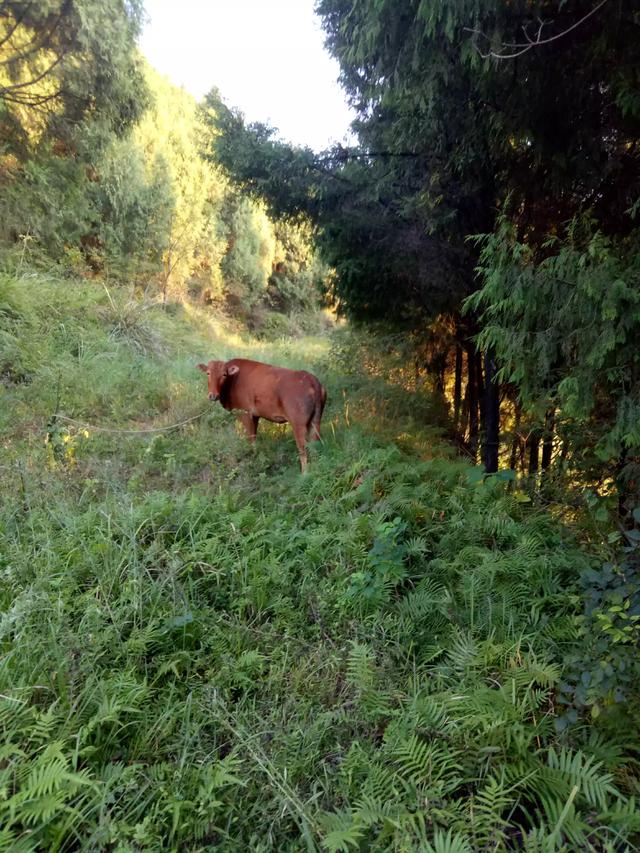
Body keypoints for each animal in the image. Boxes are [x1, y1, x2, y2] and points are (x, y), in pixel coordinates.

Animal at [196, 354, 328, 470]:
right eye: (208, 373)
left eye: (224, 374)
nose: (213, 396)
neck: (232, 382)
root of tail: (312, 380)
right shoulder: (255, 415)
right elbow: (254, 436)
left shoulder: (245, 412)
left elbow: (250, 438)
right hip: (315, 421)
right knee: (314, 446)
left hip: (298, 423)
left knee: (303, 449)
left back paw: (304, 474)